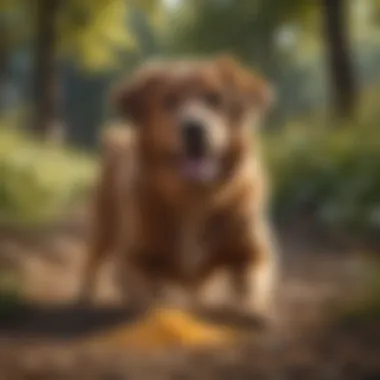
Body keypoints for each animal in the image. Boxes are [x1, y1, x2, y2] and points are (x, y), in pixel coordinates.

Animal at [80, 55, 278, 322]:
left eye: (215, 98)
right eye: (169, 100)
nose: (194, 128)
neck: (194, 199)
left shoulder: (253, 251)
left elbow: (250, 281)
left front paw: (250, 309)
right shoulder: (134, 257)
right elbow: (150, 297)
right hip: (103, 226)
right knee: (92, 262)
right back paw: (84, 297)